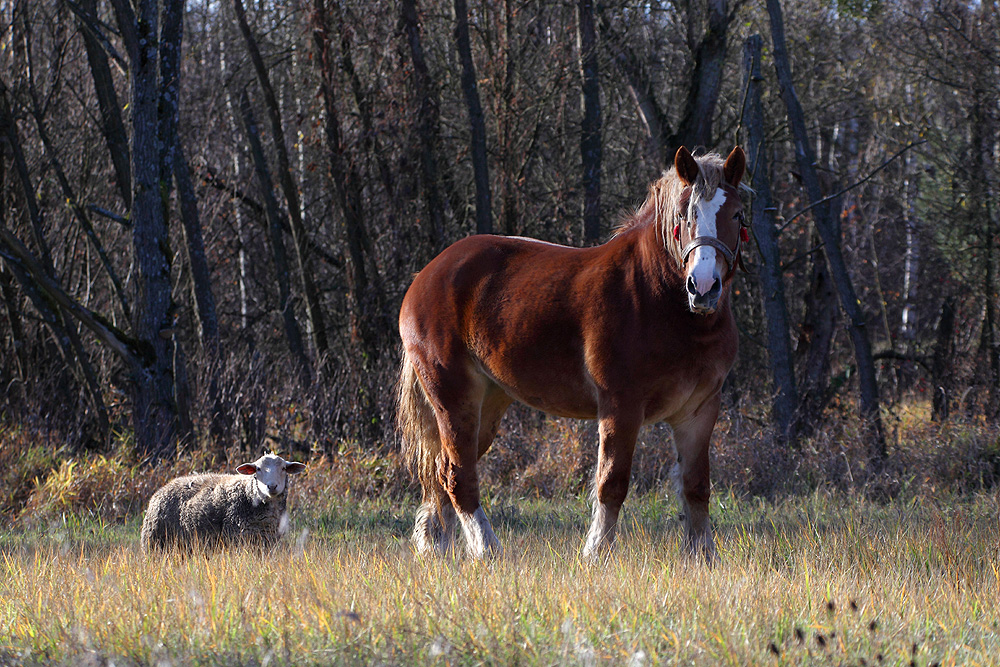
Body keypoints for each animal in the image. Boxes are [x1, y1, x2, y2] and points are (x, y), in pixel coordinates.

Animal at [139, 454, 306, 552]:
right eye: (258, 469)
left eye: (284, 468)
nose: (271, 486)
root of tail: (163, 488)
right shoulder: (238, 539)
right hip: (155, 543)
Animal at [398, 149, 752, 560]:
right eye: (683, 214)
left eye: (737, 214)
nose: (704, 286)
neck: (660, 299)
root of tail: (426, 276)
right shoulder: (620, 406)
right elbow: (611, 483)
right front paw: (596, 554)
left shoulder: (698, 411)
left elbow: (696, 487)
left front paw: (702, 558)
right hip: (454, 398)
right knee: (458, 476)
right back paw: (487, 549)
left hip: (489, 402)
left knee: (444, 471)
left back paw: (437, 546)